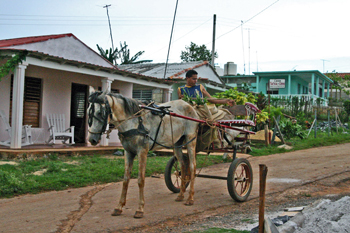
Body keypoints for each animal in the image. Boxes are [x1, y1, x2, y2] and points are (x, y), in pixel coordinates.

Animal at [87, 90, 200, 218]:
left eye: (100, 112)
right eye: (88, 111)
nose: (91, 139)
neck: (134, 122)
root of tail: (190, 106)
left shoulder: (142, 151)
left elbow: (141, 180)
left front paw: (140, 209)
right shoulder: (128, 152)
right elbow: (125, 180)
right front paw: (119, 207)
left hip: (191, 139)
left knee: (192, 166)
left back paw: (190, 198)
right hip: (177, 143)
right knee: (183, 165)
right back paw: (181, 195)